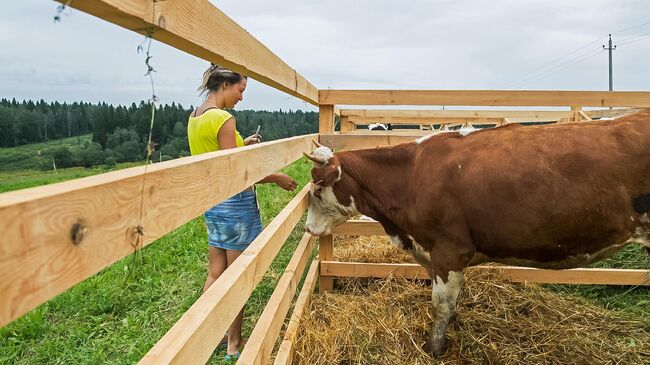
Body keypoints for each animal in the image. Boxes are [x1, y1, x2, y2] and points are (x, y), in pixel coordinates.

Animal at [304, 107, 648, 352]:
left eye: (318, 189)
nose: (308, 228)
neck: (411, 176)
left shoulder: (449, 250)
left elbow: (441, 304)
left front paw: (434, 348)